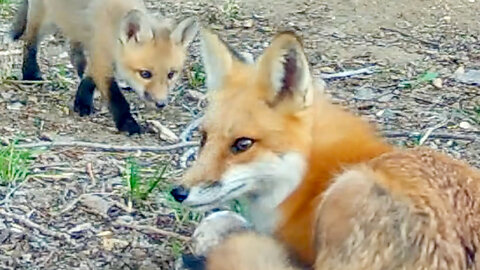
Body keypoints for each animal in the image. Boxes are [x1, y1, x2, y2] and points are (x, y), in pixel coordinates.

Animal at [12, 0, 198, 134]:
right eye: (145, 74)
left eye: (171, 74)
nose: (161, 103)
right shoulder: (102, 59)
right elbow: (116, 98)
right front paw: (127, 124)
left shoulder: (98, 57)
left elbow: (88, 80)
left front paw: (81, 102)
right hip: (45, 19)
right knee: (30, 43)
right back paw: (30, 74)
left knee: (74, 49)